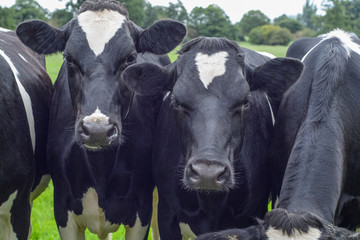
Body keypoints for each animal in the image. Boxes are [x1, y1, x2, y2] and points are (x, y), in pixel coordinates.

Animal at [15, 0, 186, 238]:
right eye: (68, 58)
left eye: (130, 58)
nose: (97, 130)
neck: (100, 168)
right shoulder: (63, 208)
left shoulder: (141, 207)